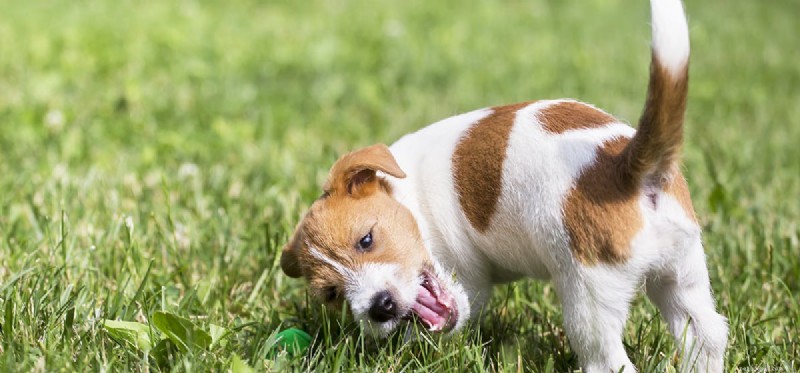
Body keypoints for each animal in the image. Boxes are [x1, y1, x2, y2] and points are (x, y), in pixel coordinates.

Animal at [278, 1, 728, 370]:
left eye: (366, 240)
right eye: (332, 294)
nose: (379, 308)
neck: (410, 199)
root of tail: (626, 167)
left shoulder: (468, 283)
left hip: (589, 299)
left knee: (607, 361)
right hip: (682, 276)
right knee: (706, 337)